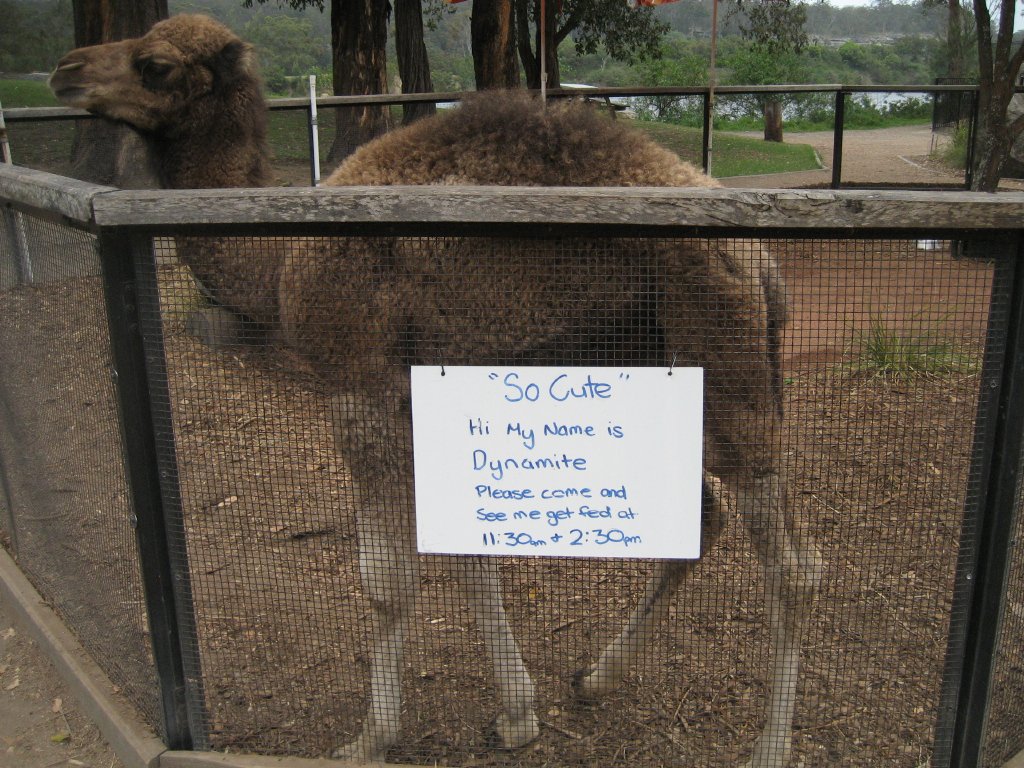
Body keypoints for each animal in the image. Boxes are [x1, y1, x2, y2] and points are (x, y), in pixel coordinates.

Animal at [50, 15, 822, 767]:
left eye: (154, 64)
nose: (66, 70)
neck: (281, 260)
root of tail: (764, 265)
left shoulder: (360, 389)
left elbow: (386, 579)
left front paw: (369, 737)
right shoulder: (423, 396)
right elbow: (467, 550)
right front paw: (518, 715)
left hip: (722, 355)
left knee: (793, 564)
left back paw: (770, 745)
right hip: (653, 364)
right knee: (705, 516)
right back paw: (596, 676)